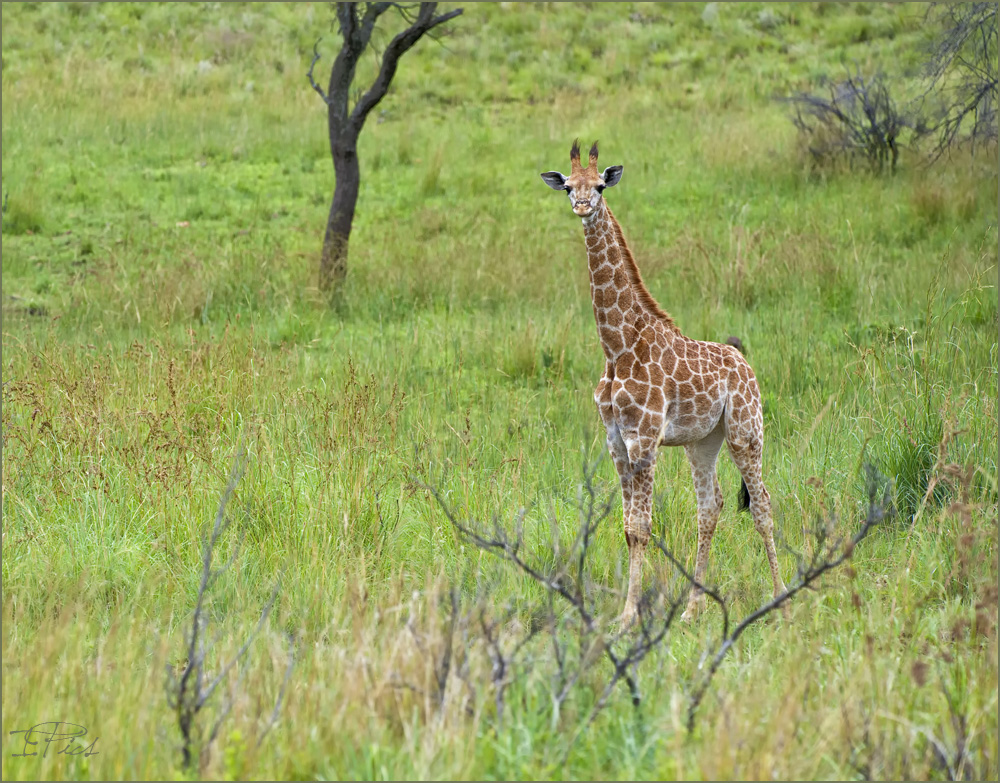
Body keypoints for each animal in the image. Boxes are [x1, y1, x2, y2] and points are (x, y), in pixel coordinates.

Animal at [540, 141, 788, 628]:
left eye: (600, 186)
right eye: (569, 187)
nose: (583, 206)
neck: (617, 346)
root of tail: (745, 363)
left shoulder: (645, 438)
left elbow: (642, 528)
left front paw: (628, 617)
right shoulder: (616, 440)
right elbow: (628, 527)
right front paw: (627, 614)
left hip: (745, 431)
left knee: (763, 504)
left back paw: (780, 597)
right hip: (703, 441)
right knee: (710, 508)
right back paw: (693, 610)